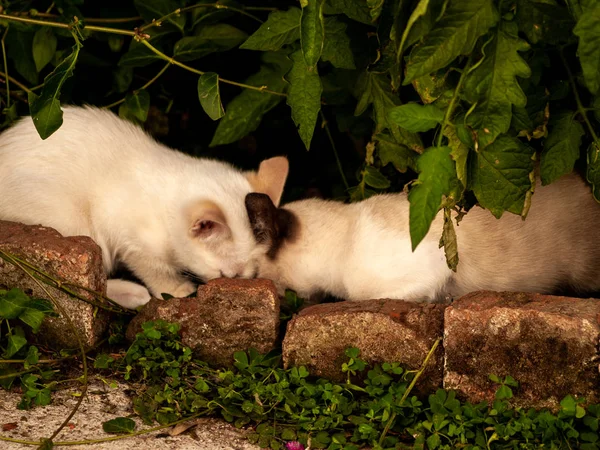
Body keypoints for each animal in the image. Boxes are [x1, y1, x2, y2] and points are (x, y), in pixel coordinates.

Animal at [0, 106, 288, 310]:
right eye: (227, 274)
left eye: (249, 273)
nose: (237, 282)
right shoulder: (127, 234)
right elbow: (150, 266)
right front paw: (175, 288)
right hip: (69, 218)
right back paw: (130, 293)